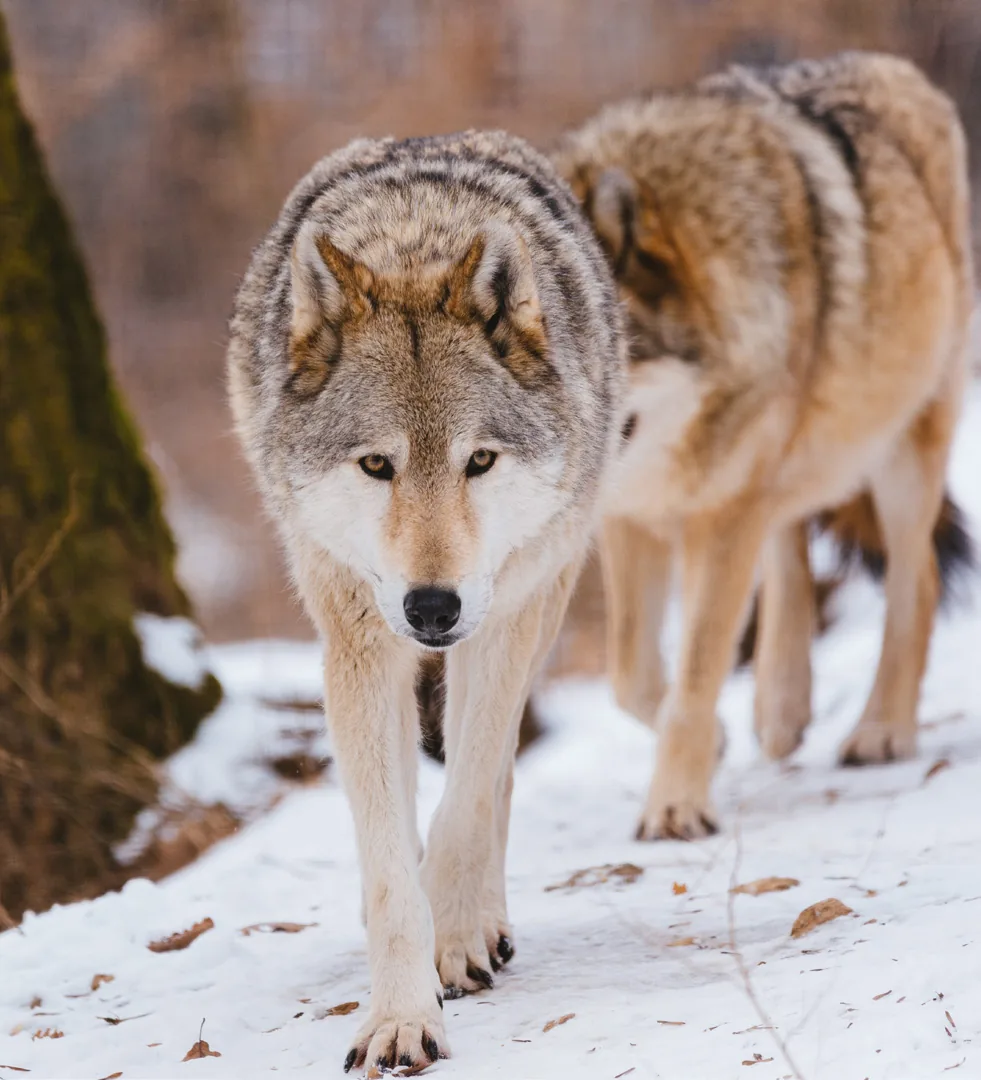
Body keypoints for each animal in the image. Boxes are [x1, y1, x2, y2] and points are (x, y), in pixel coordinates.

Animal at [227, 130, 625, 1071]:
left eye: (478, 461)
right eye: (378, 465)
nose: (432, 608)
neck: (412, 246)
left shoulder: (503, 622)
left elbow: (471, 793)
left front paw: (458, 934)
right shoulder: (359, 643)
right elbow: (386, 863)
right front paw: (401, 1014)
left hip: (543, 595)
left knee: (496, 769)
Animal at [554, 52, 974, 841]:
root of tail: (895, 68)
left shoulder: (717, 517)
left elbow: (692, 672)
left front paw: (675, 807)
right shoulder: (630, 516)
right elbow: (631, 673)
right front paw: (715, 741)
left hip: (902, 447)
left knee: (917, 580)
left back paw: (880, 730)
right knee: (790, 543)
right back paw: (780, 705)